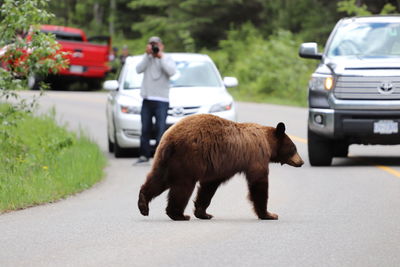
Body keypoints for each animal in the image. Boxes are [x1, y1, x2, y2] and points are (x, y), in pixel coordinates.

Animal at [138, 114, 304, 221]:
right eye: (294, 148)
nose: (301, 162)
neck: (268, 143)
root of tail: (170, 139)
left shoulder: (218, 166)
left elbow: (208, 186)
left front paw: (204, 213)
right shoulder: (256, 156)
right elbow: (259, 183)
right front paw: (268, 214)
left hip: (166, 160)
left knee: (158, 179)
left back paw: (143, 204)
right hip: (187, 158)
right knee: (182, 186)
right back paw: (178, 214)